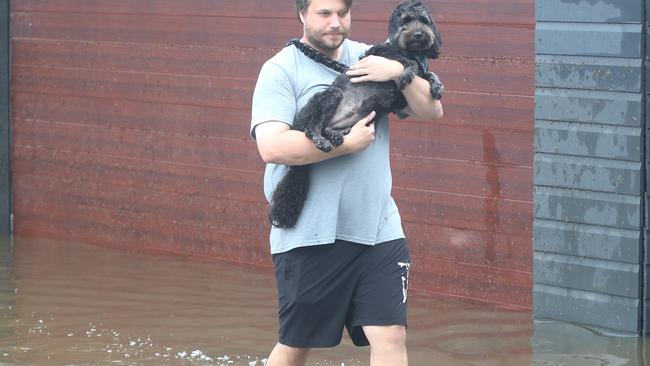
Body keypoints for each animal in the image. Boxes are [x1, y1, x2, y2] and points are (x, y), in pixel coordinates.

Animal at [268, 0, 440, 229]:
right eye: (405, 21)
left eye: (423, 20)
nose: (419, 34)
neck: (408, 49)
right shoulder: (387, 57)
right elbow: (406, 63)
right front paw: (406, 75)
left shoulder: (405, 93)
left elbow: (429, 74)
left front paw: (437, 86)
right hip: (332, 95)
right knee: (311, 128)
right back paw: (322, 141)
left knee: (327, 128)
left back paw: (334, 136)